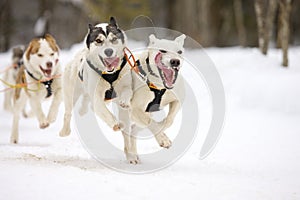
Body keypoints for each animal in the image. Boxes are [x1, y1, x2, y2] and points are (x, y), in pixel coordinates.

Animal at [122, 33, 185, 163]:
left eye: (179, 51)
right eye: (162, 51)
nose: (175, 61)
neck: (159, 85)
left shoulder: (177, 100)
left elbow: (169, 120)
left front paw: (162, 126)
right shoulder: (136, 109)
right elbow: (151, 123)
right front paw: (163, 139)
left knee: (134, 130)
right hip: (125, 115)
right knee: (127, 134)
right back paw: (131, 156)